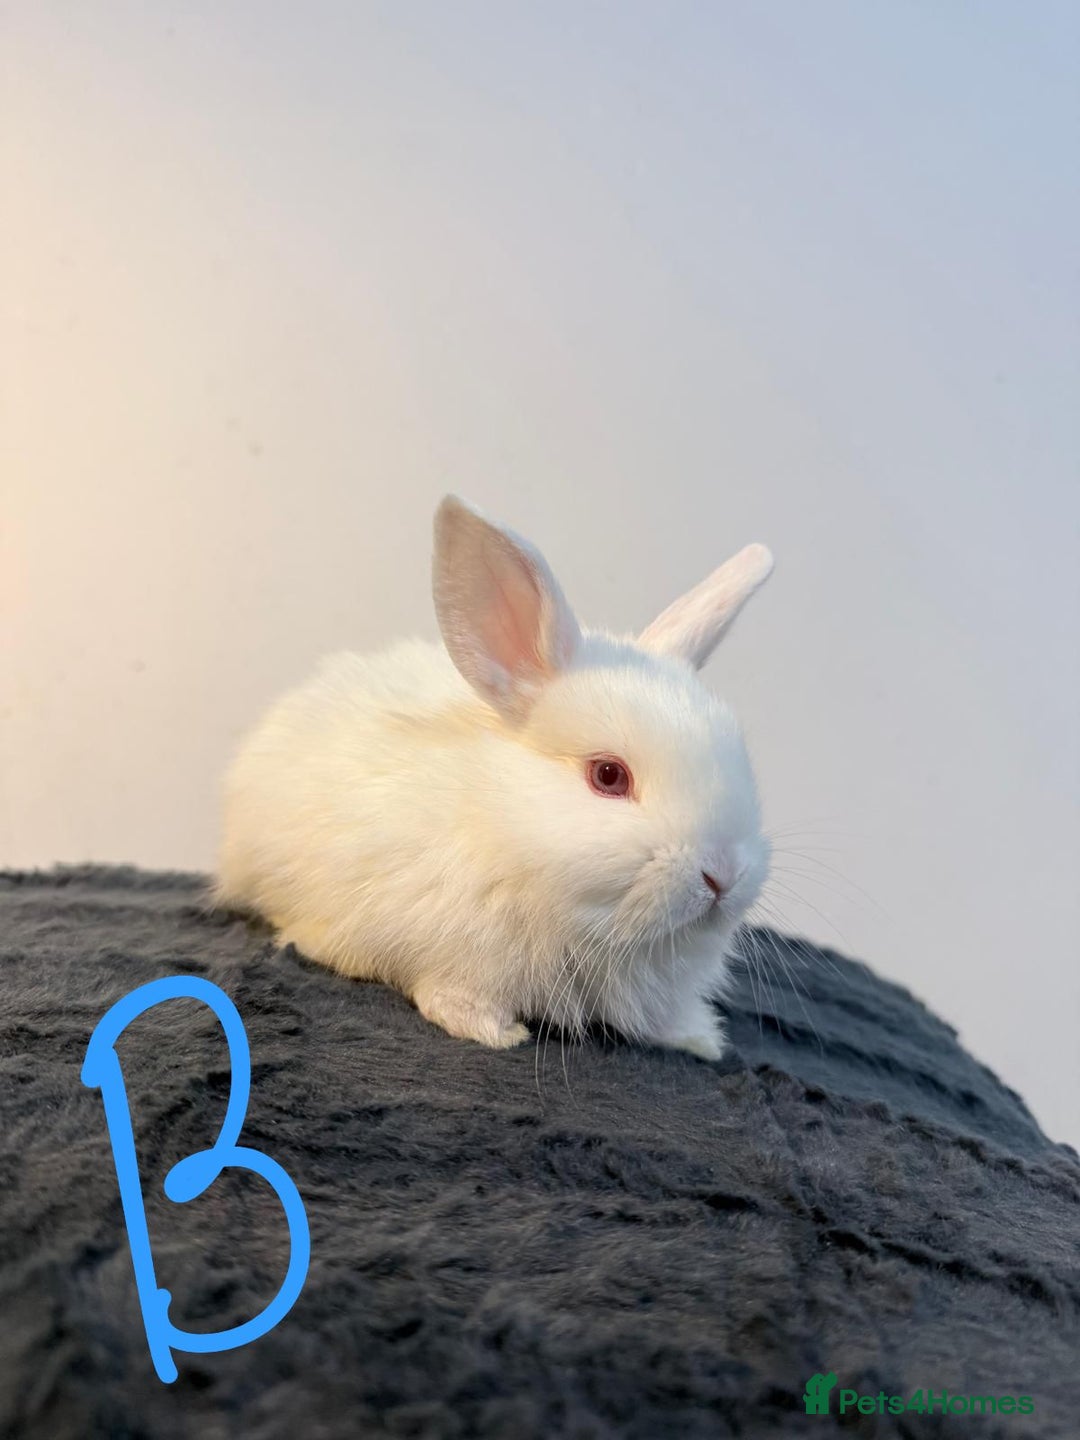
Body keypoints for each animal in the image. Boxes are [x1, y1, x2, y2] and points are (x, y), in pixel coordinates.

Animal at [216, 495, 774, 1059]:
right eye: (609, 775)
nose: (722, 876)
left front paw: (702, 1039)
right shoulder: (451, 957)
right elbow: (453, 995)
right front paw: (495, 1034)